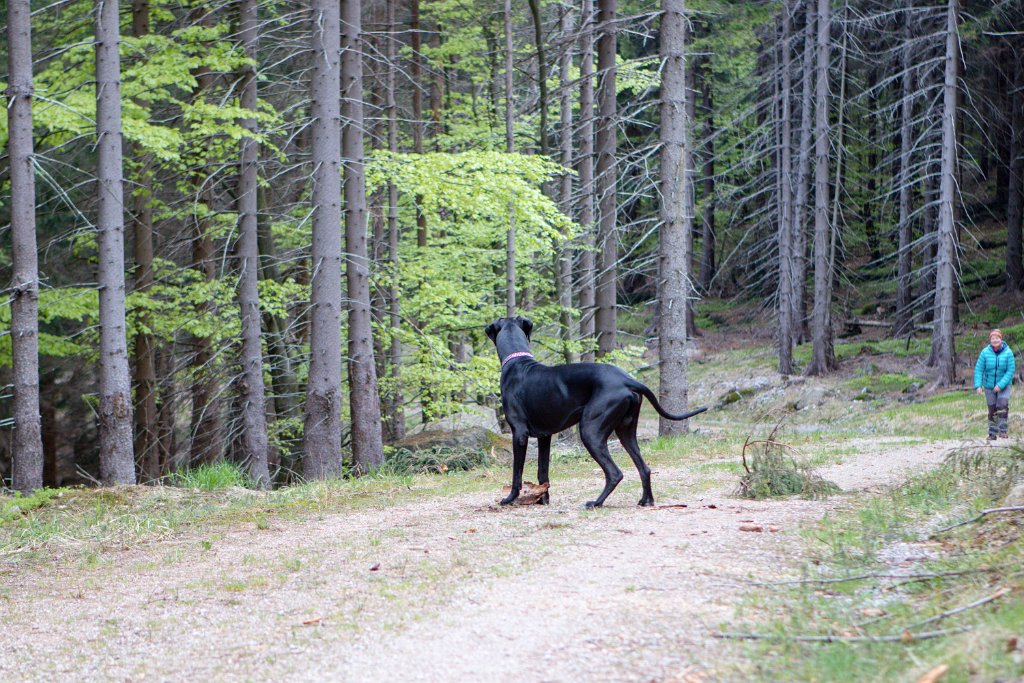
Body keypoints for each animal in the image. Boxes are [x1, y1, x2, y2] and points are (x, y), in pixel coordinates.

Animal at [485, 317, 708, 507]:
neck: (517, 362)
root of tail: (627, 379)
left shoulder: (519, 433)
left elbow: (517, 473)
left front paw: (510, 498)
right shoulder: (545, 436)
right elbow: (543, 472)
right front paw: (542, 499)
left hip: (591, 431)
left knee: (615, 473)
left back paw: (596, 502)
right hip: (626, 431)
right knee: (644, 467)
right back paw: (646, 501)